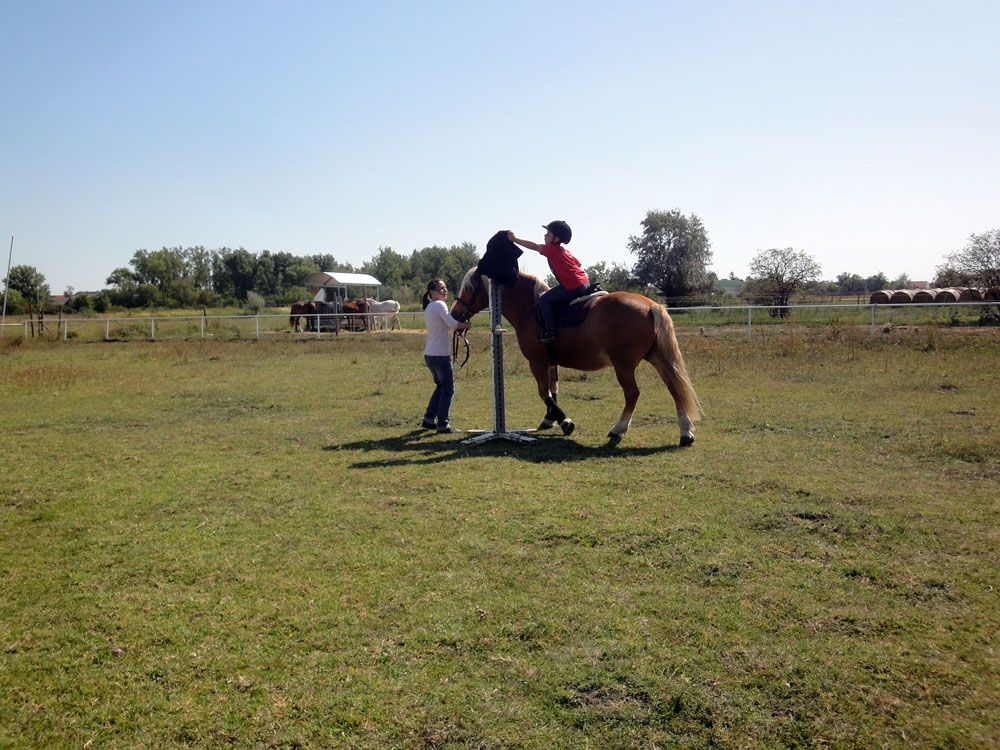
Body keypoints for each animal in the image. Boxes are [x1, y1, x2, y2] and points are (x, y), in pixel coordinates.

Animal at [450, 264, 700, 446]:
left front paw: (565, 421)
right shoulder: (551, 363)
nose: (454, 313)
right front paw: (550, 419)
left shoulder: (537, 362)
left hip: (624, 366)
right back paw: (685, 432)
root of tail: (650, 306)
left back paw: (618, 429)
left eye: (469, 288)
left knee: (632, 394)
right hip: (658, 359)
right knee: (675, 388)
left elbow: (544, 392)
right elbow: (553, 390)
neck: (531, 309)